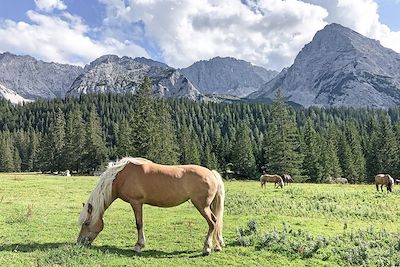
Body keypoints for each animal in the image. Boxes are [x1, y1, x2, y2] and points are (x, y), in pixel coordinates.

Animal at [76, 158, 223, 256]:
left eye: (87, 223)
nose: (79, 242)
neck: (121, 175)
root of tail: (211, 173)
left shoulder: (136, 202)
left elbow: (139, 224)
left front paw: (138, 246)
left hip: (202, 206)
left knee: (212, 222)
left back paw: (207, 248)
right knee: (216, 223)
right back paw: (218, 245)